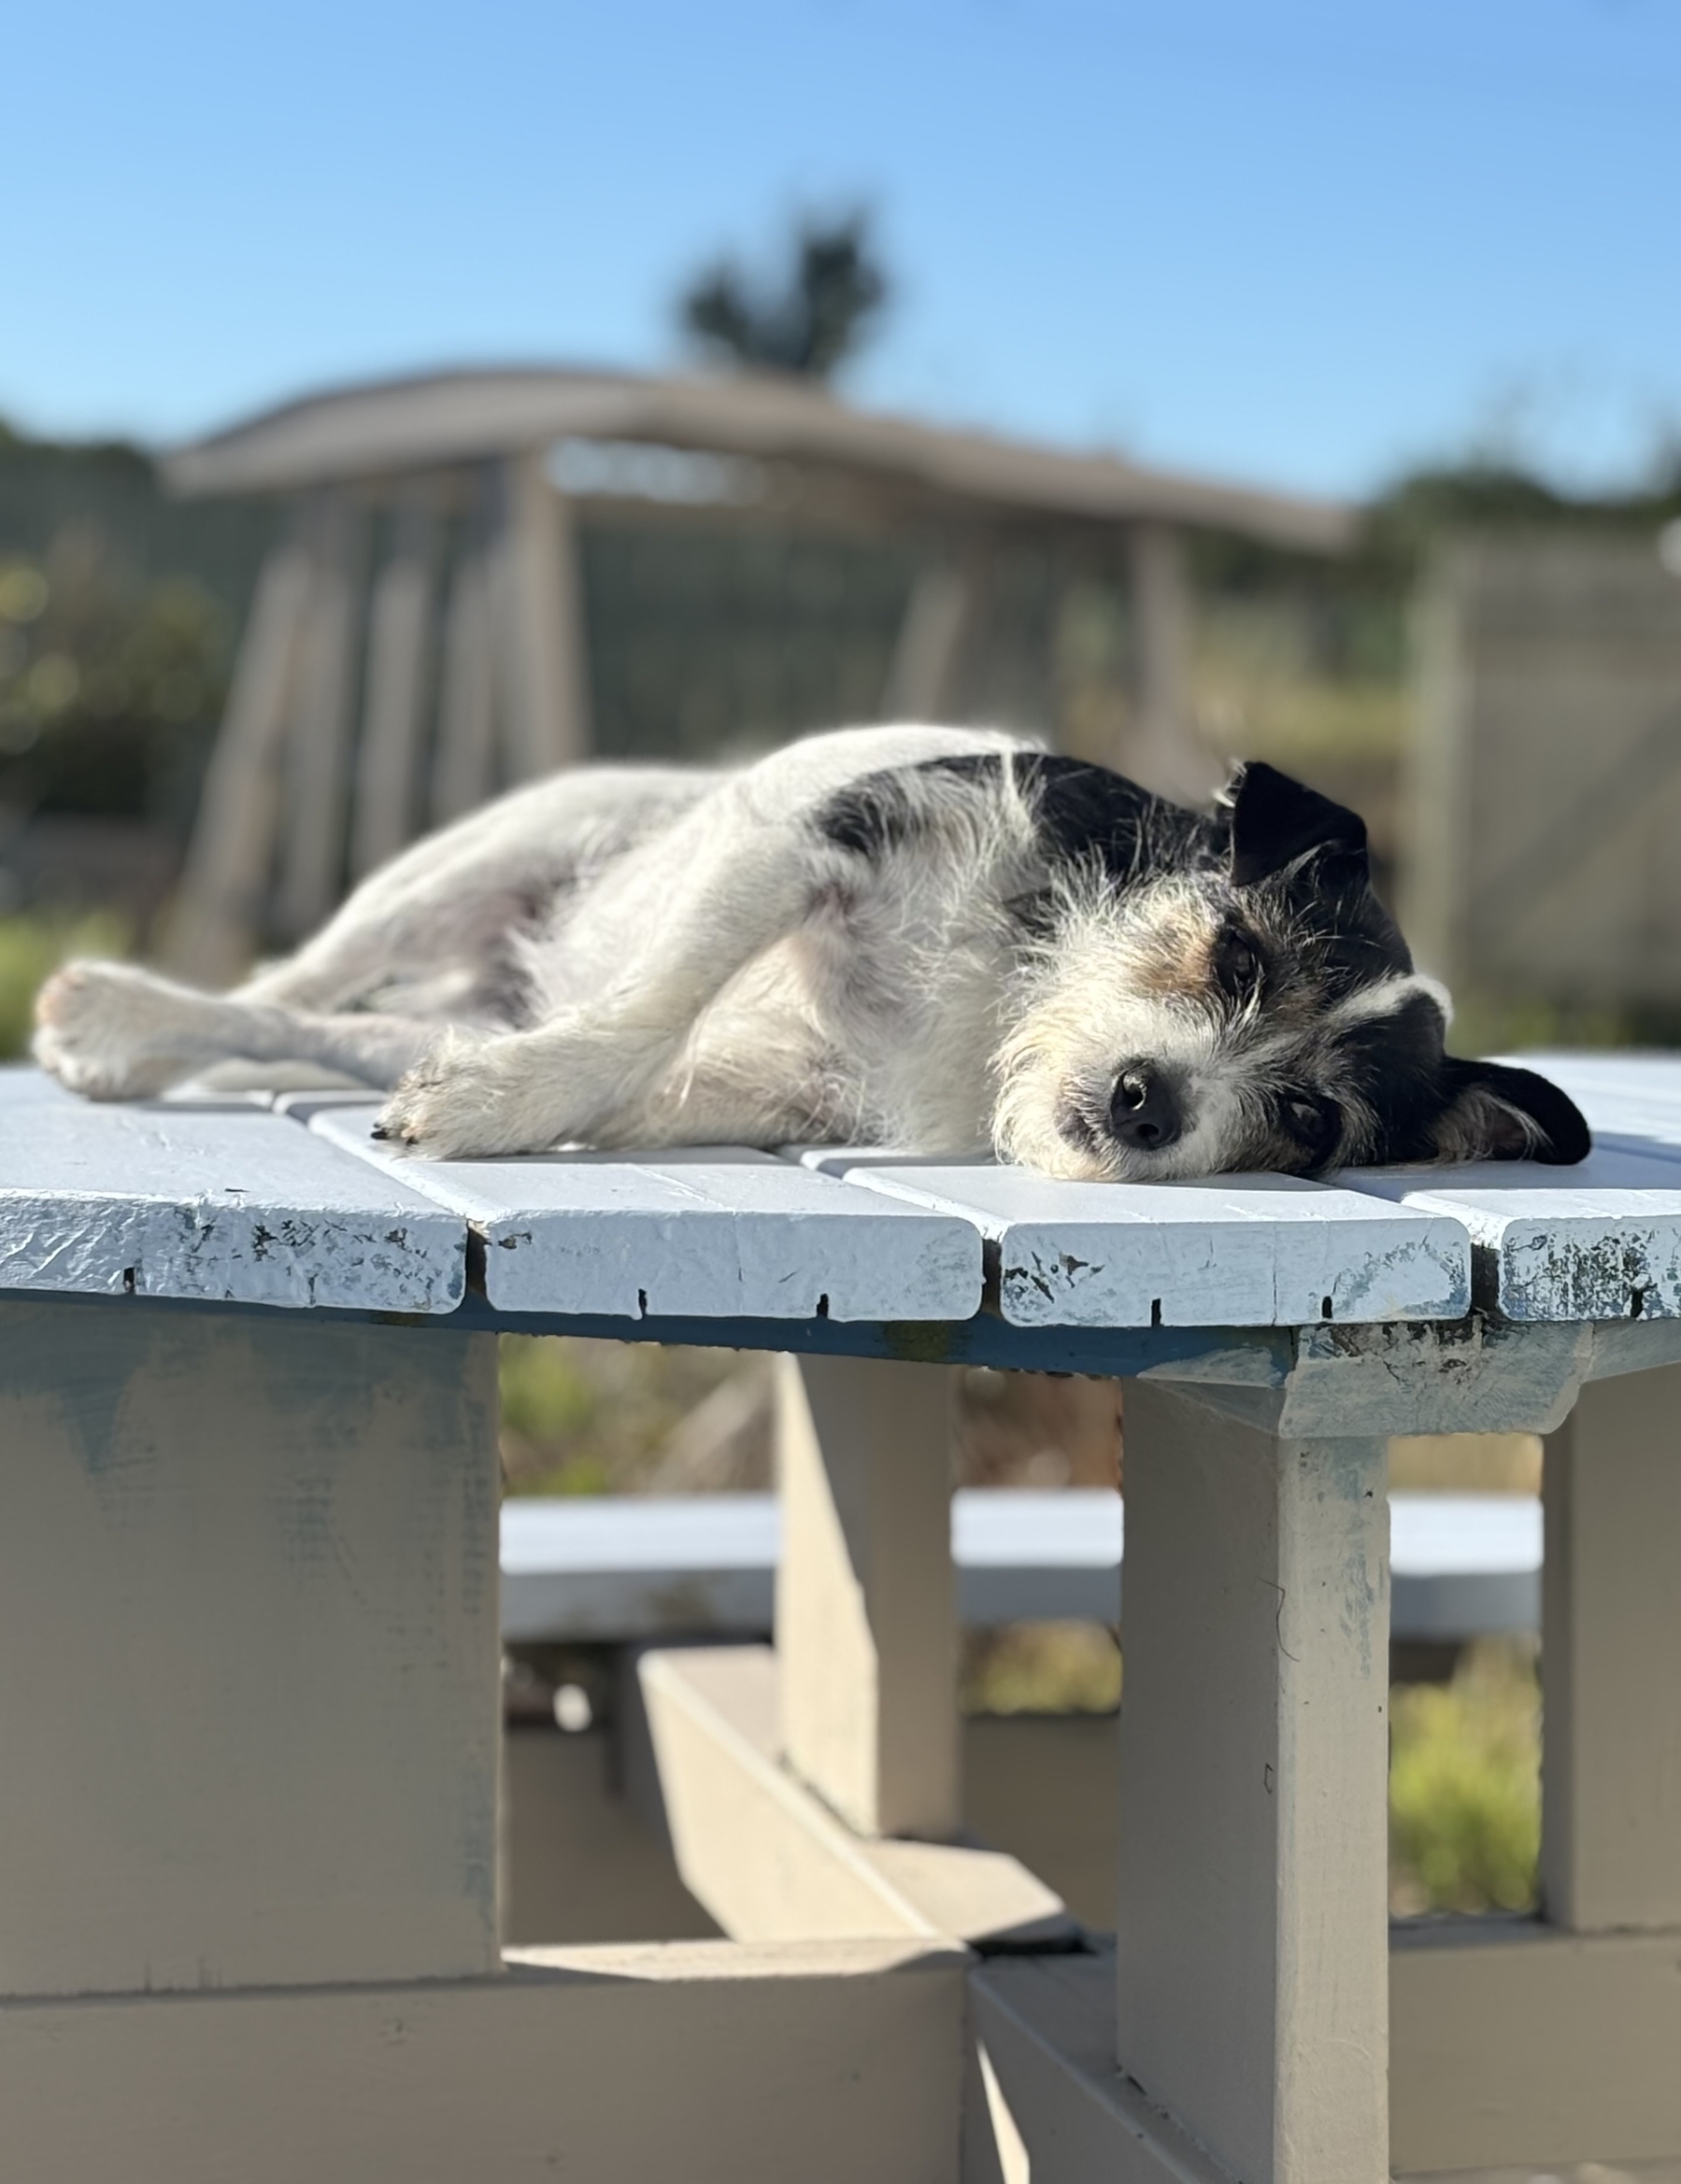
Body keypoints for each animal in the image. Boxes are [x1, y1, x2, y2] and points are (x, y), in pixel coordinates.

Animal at [33, 725, 1591, 1179]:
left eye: (1306, 1119)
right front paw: (496, 1103)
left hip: (421, 995)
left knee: (312, 1028)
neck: (1014, 993)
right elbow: (652, 1005)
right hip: (481, 855)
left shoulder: (779, 1093)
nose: (1144, 1102)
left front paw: (504, 1097)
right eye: (1232, 953)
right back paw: (114, 1010)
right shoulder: (810, 842)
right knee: (278, 984)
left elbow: (644, 1067)